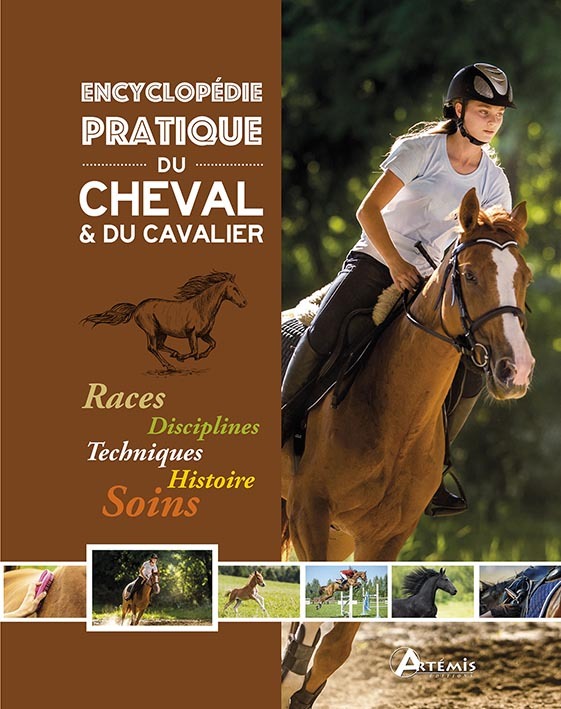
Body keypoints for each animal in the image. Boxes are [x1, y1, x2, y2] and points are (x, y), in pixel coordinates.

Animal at [83, 271, 247, 369]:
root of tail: (137, 308)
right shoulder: (191, 333)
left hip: (162, 332)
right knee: (152, 348)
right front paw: (183, 357)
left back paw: (173, 354)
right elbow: (194, 350)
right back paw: (170, 365)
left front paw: (199, 356)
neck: (201, 307)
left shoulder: (204, 334)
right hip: (151, 331)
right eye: (234, 289)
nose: (245, 302)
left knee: (160, 345)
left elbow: (213, 344)